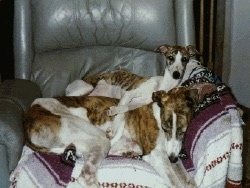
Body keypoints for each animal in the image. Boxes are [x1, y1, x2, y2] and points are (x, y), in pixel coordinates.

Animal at [23, 84, 215, 188]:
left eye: (183, 131)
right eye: (165, 127)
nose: (173, 158)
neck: (156, 112)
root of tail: (27, 121)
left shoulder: (170, 155)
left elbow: (186, 179)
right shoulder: (155, 154)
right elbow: (175, 181)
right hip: (98, 138)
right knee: (85, 177)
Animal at [65, 45, 200, 116]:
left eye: (184, 59)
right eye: (171, 57)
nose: (176, 74)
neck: (163, 84)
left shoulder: (138, 103)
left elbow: (125, 107)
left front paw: (114, 110)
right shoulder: (130, 92)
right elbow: (123, 104)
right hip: (86, 87)